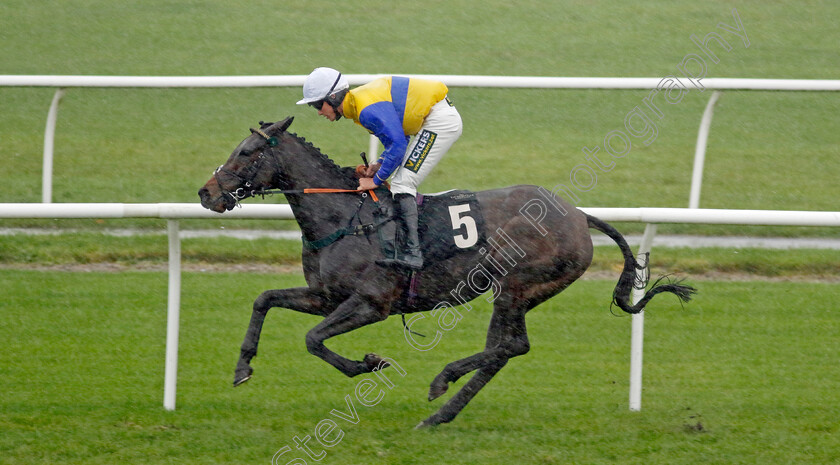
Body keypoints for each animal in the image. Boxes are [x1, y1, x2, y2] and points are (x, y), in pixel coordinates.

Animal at [199, 117, 696, 428]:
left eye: (246, 152)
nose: (206, 193)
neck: (343, 216)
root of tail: (578, 216)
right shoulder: (324, 297)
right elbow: (264, 299)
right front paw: (243, 367)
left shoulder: (371, 303)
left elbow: (313, 339)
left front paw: (368, 363)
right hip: (512, 292)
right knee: (502, 350)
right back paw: (442, 413)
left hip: (518, 285)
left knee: (511, 345)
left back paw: (443, 380)